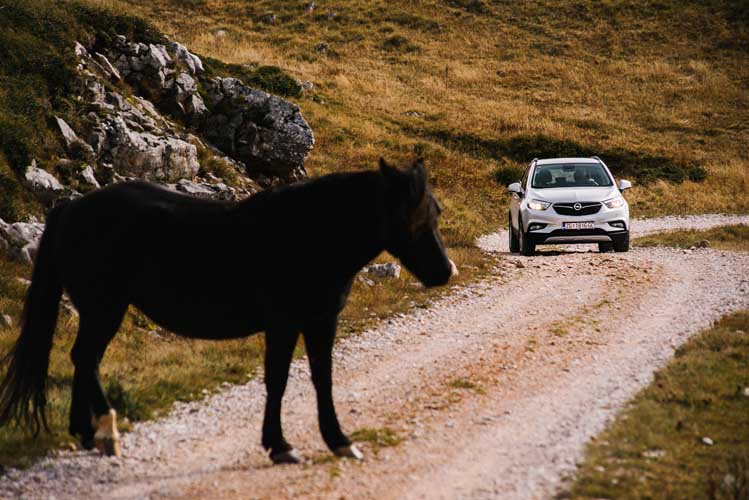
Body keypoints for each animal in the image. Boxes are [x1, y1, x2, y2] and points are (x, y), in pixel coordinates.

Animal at [0, 158, 450, 462]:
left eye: (436, 212)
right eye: (409, 215)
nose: (445, 271)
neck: (310, 235)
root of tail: (72, 208)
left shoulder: (322, 322)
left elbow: (323, 379)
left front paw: (339, 441)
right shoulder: (284, 324)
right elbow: (278, 381)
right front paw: (280, 445)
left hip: (99, 310)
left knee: (83, 360)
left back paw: (87, 433)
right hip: (104, 308)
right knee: (87, 358)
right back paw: (107, 434)